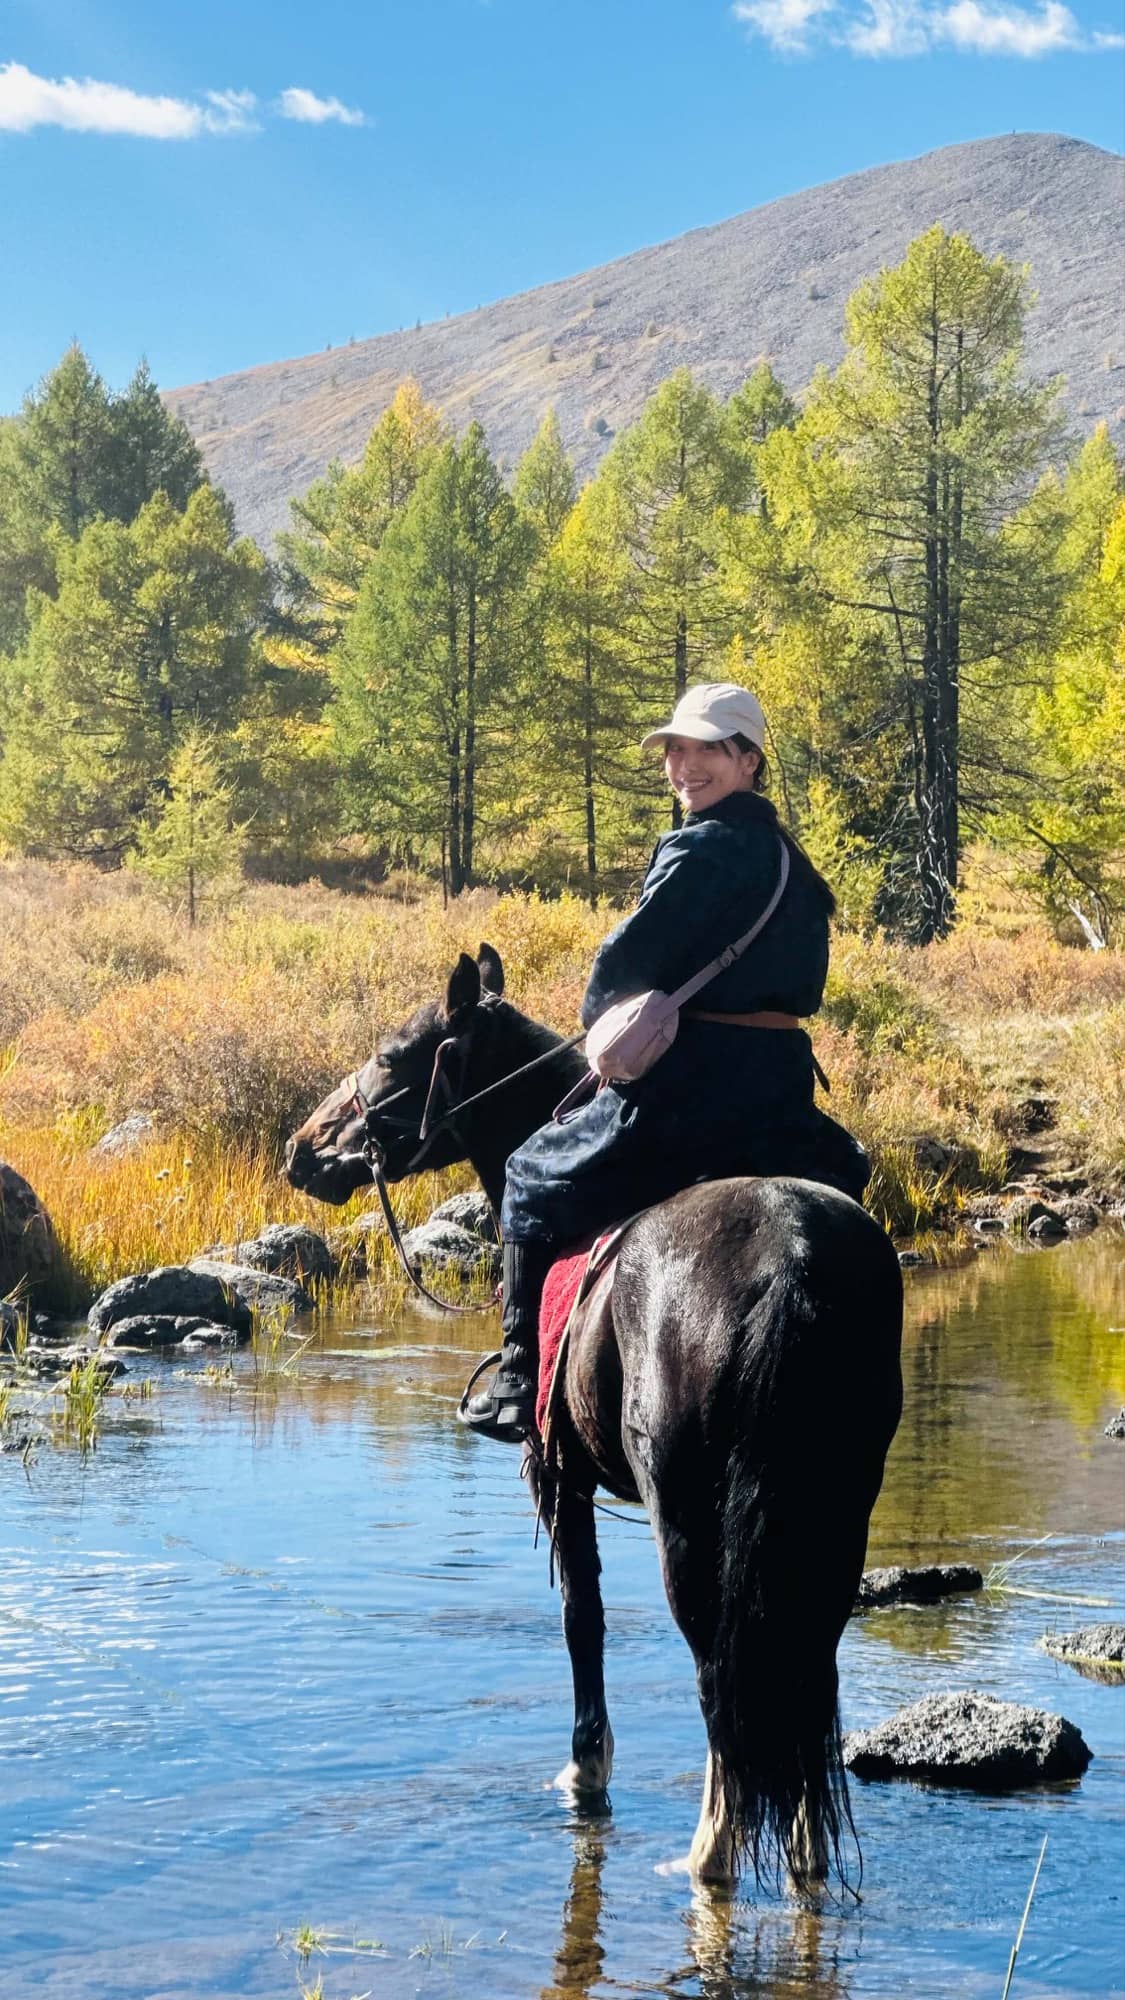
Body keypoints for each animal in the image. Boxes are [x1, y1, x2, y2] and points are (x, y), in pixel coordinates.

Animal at [284, 943, 904, 1892]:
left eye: (392, 1055)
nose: (302, 1151)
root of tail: (791, 1253)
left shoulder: (556, 1473)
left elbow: (583, 1618)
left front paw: (585, 1771)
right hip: (832, 1509)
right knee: (805, 1658)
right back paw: (803, 1848)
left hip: (686, 1515)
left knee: (717, 1671)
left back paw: (709, 1853)